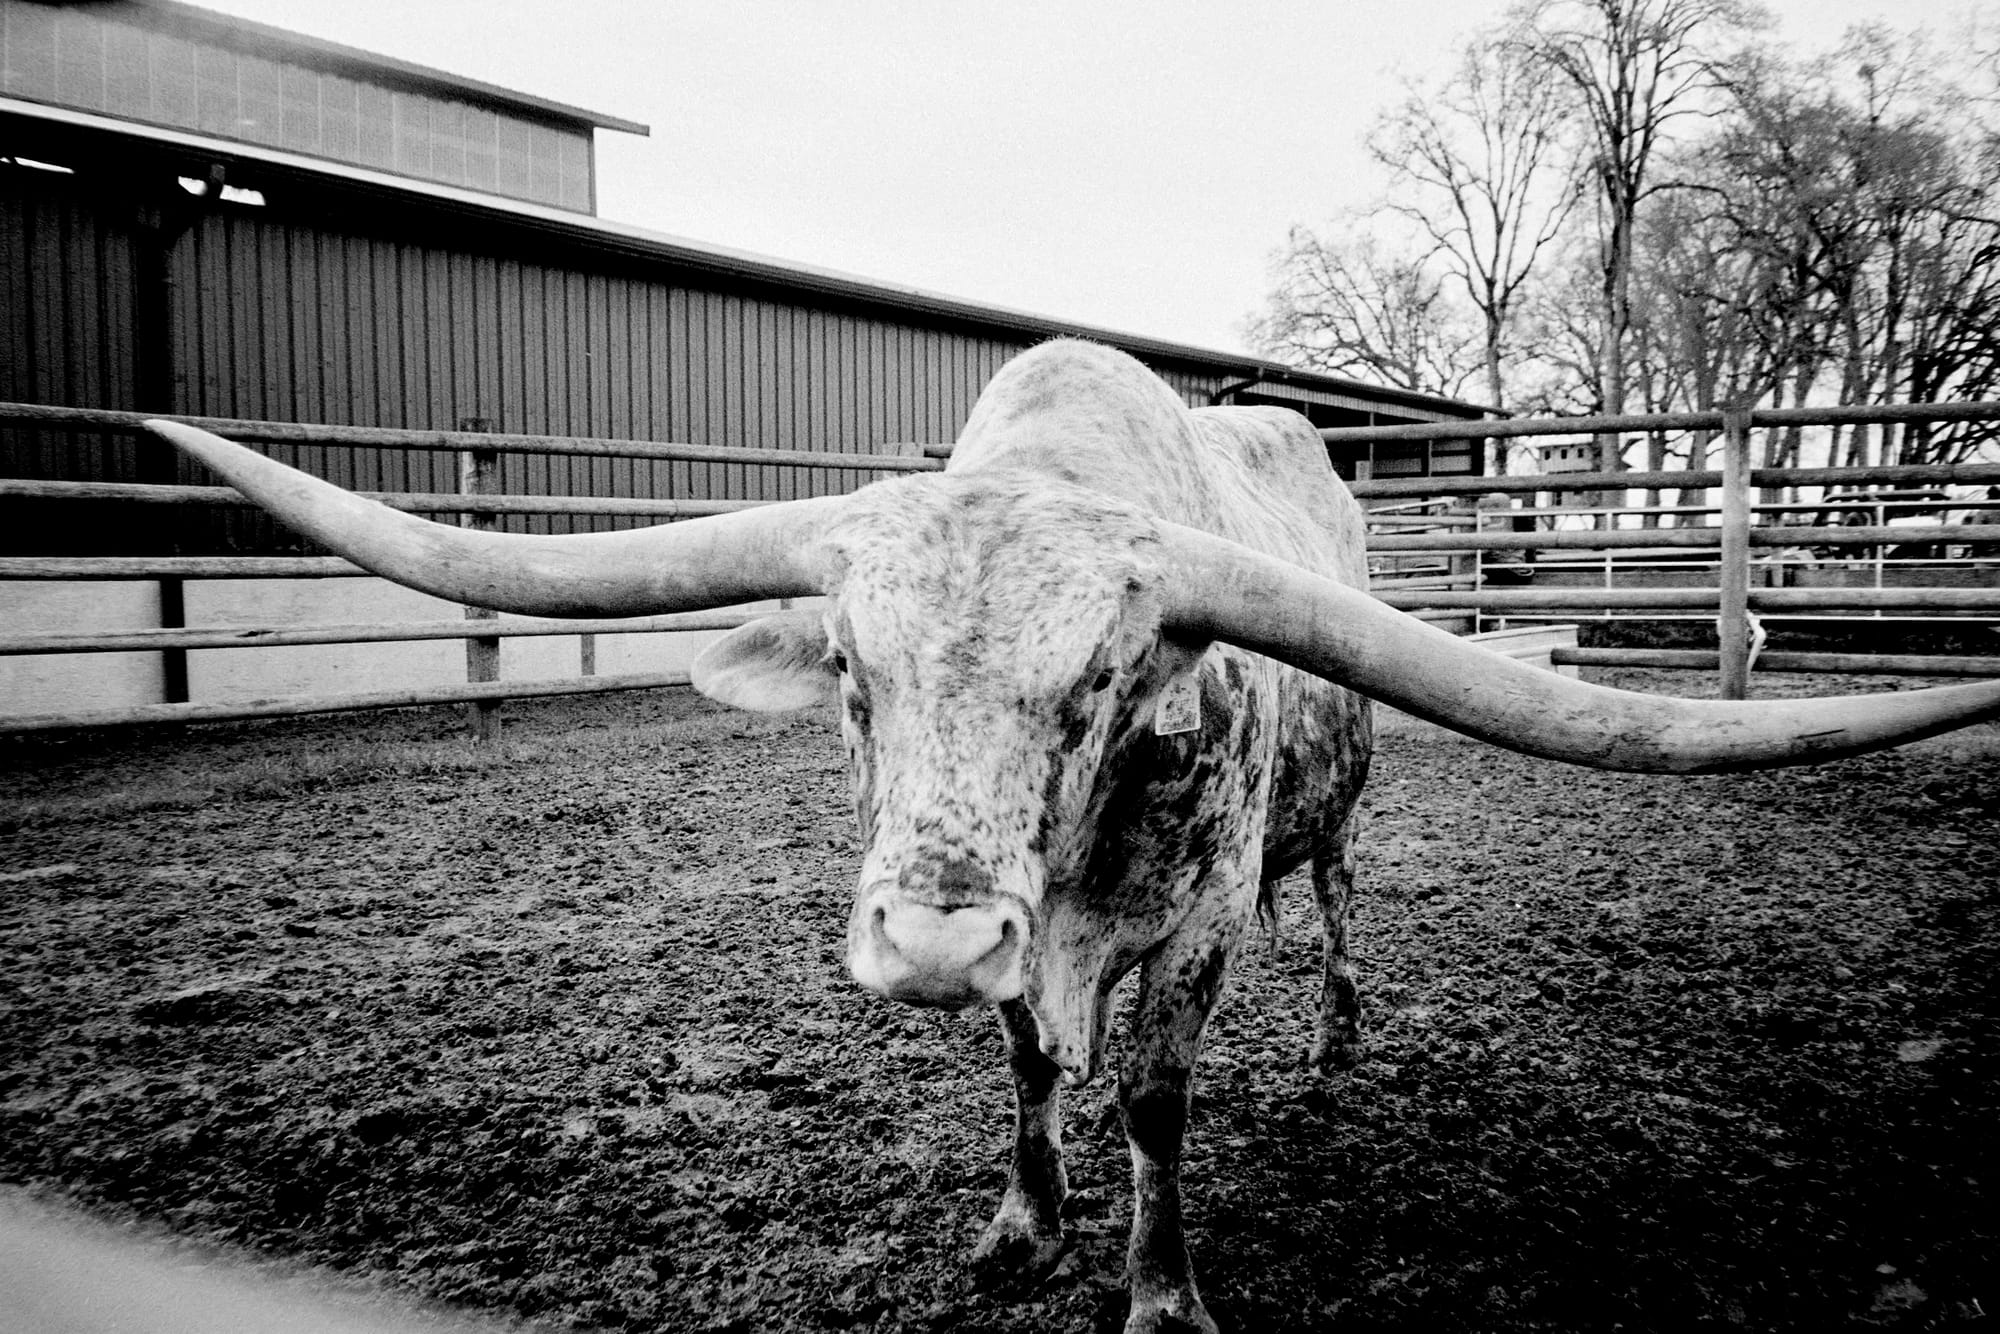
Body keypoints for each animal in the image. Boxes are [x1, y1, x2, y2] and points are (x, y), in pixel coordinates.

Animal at [147, 341, 2000, 1334]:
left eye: (1102, 677)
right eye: (851, 670)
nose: (932, 936)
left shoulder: (1196, 927)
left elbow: (1156, 1107)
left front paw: (1160, 1283)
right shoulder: (1031, 945)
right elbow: (1037, 1065)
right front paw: (1024, 1216)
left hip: (1339, 812)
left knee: (1339, 896)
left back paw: (1339, 1031)